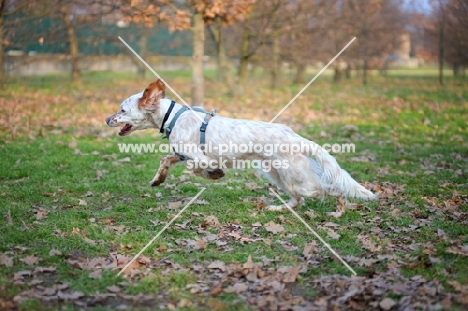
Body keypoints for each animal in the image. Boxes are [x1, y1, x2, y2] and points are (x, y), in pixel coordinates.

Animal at [107, 79, 376, 218]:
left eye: (122, 110)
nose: (107, 119)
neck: (172, 117)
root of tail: (296, 136)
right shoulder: (180, 153)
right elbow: (166, 159)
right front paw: (158, 180)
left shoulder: (198, 155)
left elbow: (198, 167)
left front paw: (215, 174)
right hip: (277, 174)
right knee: (297, 200)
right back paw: (275, 207)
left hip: (297, 179)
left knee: (330, 189)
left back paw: (339, 212)